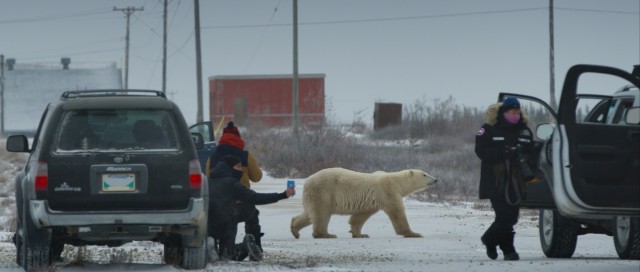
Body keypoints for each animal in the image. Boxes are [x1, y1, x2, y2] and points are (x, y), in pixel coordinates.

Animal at [292, 167, 438, 239]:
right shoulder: (388, 192)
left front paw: (360, 234)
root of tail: (307, 181)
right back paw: (326, 234)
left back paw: (295, 230)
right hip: (324, 191)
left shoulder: (372, 200)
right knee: (321, 213)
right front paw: (414, 233)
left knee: (309, 214)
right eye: (424, 174)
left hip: (313, 195)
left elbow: (360, 216)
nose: (436, 179)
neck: (396, 181)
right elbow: (397, 212)